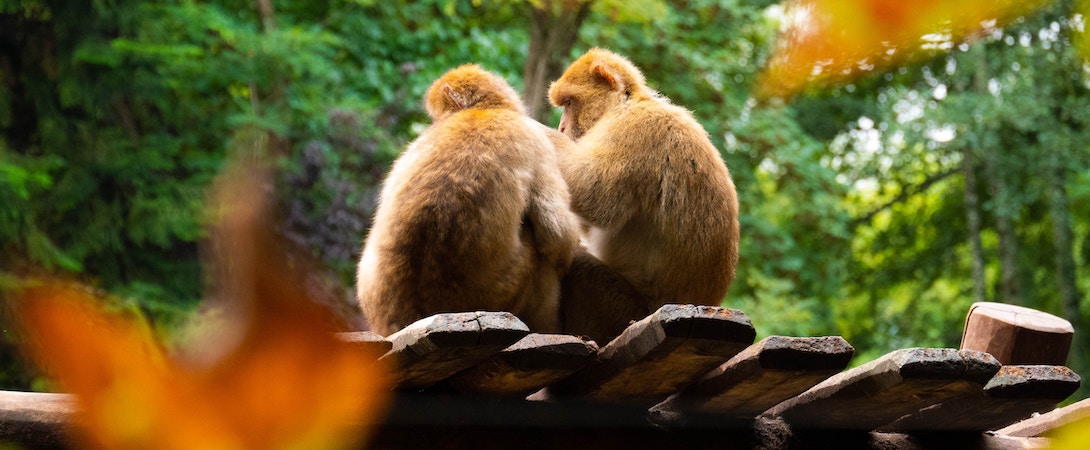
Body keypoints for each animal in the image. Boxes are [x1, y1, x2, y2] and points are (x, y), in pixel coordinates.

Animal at [357, 64, 581, 336]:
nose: (435, 123)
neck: (482, 111)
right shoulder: (535, 139)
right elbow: (557, 236)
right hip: (503, 293)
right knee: (541, 256)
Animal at [547, 48, 740, 342]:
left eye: (569, 103)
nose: (561, 128)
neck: (625, 106)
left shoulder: (634, 130)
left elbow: (593, 193)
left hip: (624, 311)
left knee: (581, 269)